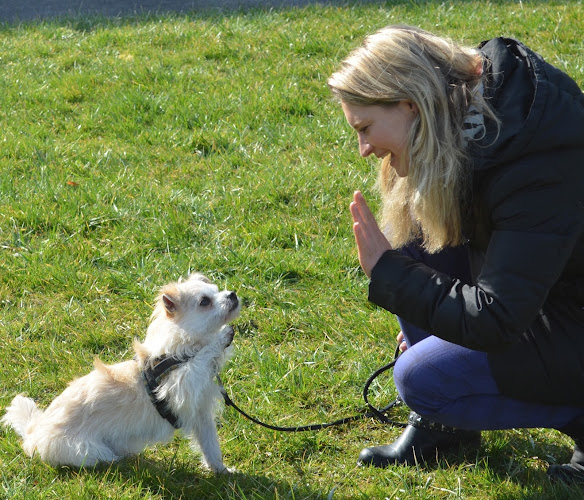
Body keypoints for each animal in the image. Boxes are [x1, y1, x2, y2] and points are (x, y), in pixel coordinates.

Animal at [1, 274, 241, 472]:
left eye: (217, 289)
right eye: (204, 301)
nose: (232, 294)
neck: (178, 349)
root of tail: (33, 434)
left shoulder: (201, 414)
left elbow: (210, 446)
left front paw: (221, 471)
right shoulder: (180, 384)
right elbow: (201, 356)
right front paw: (221, 337)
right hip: (88, 451)